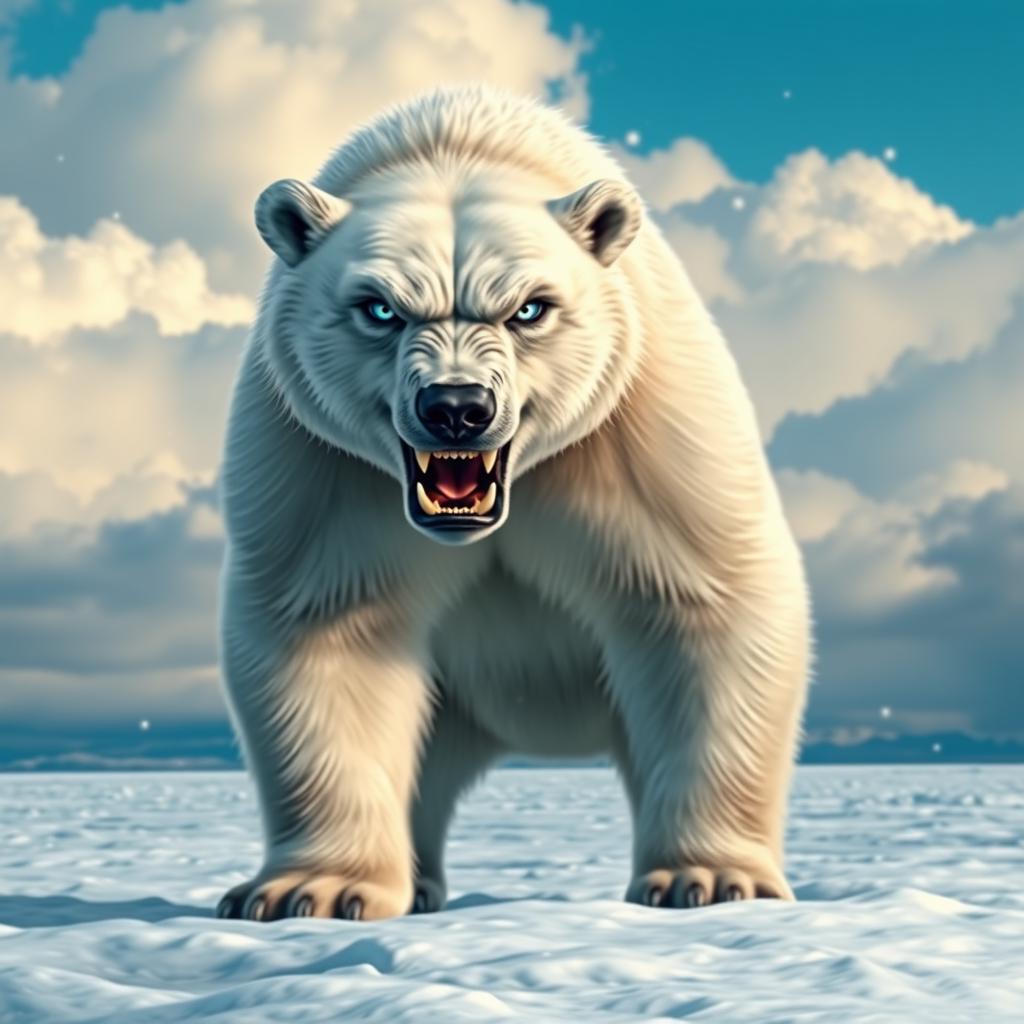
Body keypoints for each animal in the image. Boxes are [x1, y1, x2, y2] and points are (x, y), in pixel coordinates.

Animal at [215, 82, 812, 921]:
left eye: (529, 308)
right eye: (380, 307)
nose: (456, 407)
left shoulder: (639, 435)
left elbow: (707, 606)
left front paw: (709, 880)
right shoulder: (326, 471)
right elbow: (330, 629)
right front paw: (315, 891)